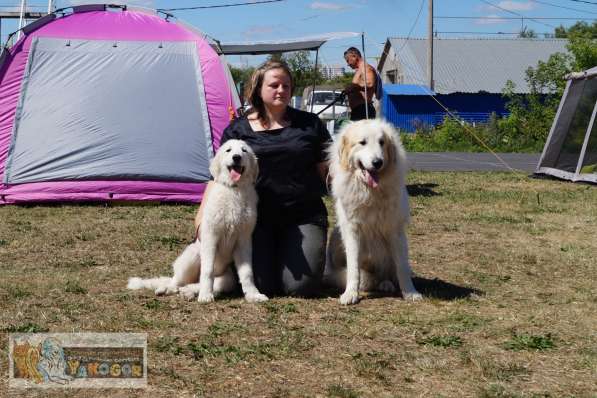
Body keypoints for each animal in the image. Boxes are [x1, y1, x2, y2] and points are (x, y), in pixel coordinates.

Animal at [128, 138, 268, 304]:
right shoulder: (210, 236)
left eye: (244, 150)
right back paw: (167, 289)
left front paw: (253, 295)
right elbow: (207, 271)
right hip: (192, 256)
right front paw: (206, 295)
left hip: (227, 279)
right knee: (177, 280)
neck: (234, 191)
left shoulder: (243, 240)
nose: (236, 157)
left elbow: (247, 272)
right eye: (228, 150)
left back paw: (188, 292)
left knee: (197, 284)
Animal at [324, 118, 422, 304]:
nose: (378, 162)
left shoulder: (395, 231)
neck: (370, 193)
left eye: (382, 142)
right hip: (336, 236)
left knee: (388, 273)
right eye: (362, 143)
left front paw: (410, 292)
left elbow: (402, 267)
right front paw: (351, 293)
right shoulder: (352, 231)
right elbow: (353, 268)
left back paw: (386, 283)